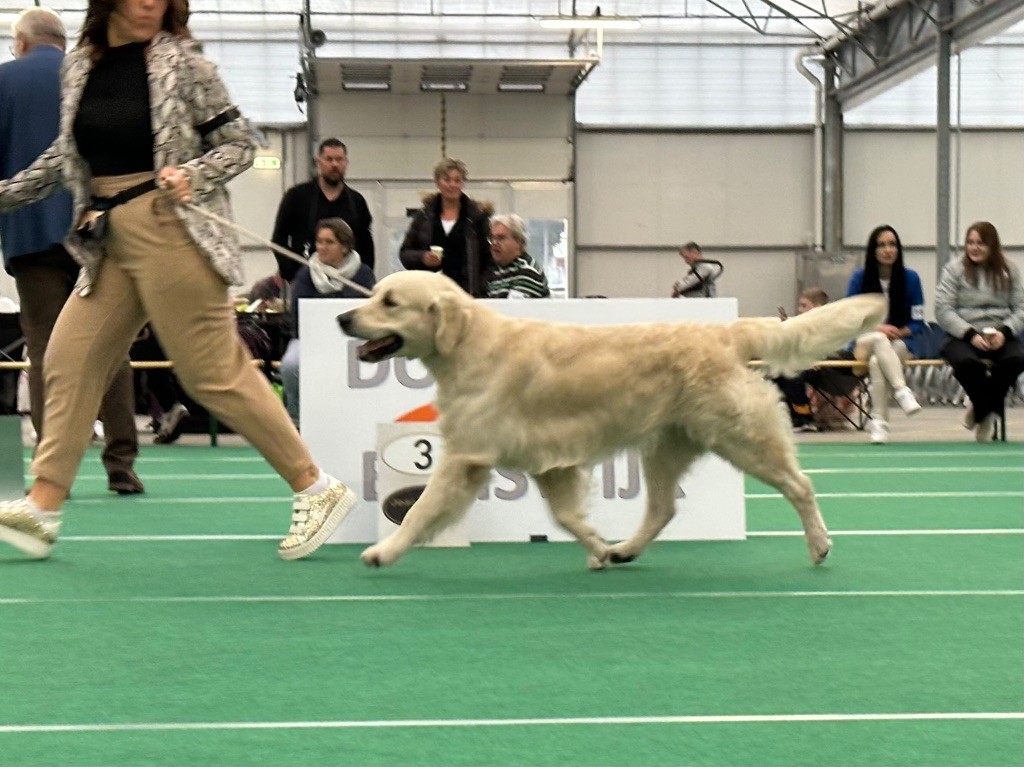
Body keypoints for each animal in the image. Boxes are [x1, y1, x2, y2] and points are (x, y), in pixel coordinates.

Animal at [337, 272, 888, 573]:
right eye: (375, 294)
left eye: (389, 302)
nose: (343, 318)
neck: (468, 346)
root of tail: (727, 331)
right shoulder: (551, 461)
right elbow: (565, 516)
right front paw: (599, 548)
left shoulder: (467, 457)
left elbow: (420, 510)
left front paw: (383, 551)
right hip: (665, 447)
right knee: (662, 508)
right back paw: (625, 550)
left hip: (743, 438)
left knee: (800, 485)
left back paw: (819, 545)